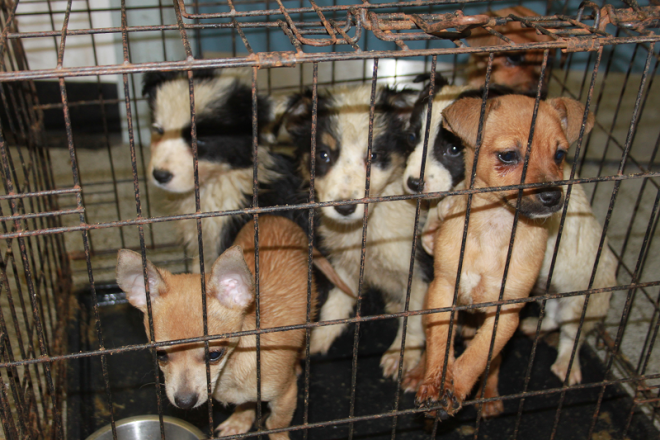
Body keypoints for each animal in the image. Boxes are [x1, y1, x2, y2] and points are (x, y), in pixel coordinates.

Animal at [116, 215, 320, 438]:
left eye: (214, 355)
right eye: (160, 355)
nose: (184, 401)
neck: (231, 369)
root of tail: (275, 216)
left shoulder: (286, 394)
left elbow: (277, 424)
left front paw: (278, 436)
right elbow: (246, 402)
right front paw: (240, 420)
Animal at [284, 85, 430, 378]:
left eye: (373, 156)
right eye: (323, 155)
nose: (345, 208)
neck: (368, 227)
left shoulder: (421, 268)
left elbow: (414, 316)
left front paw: (403, 354)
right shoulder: (343, 264)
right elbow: (335, 305)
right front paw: (317, 339)